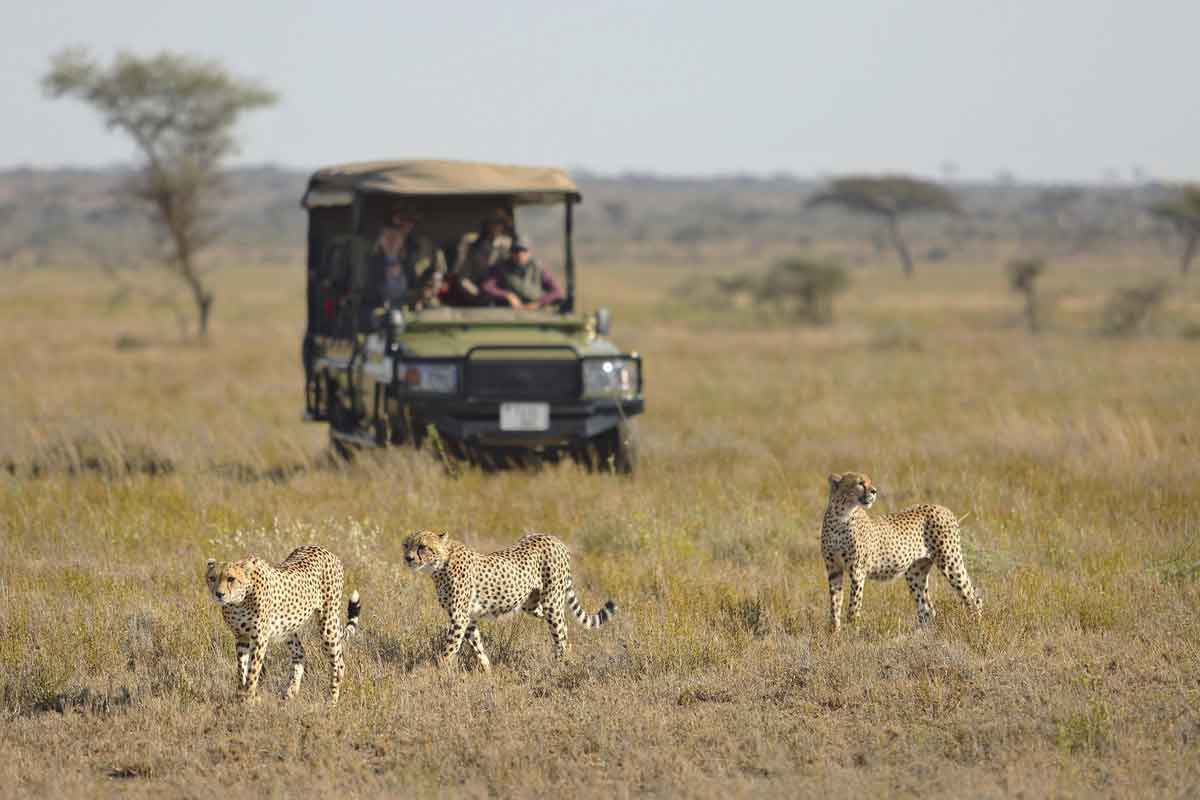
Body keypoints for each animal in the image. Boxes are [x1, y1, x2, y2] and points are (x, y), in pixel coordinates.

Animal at [206, 544, 360, 705]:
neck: (238, 601)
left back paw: (332, 700)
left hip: (327, 624)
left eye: (231, 578)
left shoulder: (259, 639)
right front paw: (240, 697)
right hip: (288, 628)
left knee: (338, 663)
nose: (219, 594)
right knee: (300, 652)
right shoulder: (241, 637)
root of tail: (324, 550)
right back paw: (290, 693)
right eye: (212, 578)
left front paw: (248, 698)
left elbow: (253, 671)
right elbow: (241, 669)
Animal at [403, 534, 619, 671]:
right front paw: (487, 671)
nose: (408, 558)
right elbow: (477, 645)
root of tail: (554, 538)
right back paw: (569, 653)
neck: (439, 565)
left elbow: (450, 648)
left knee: (560, 632)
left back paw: (560, 665)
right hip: (531, 605)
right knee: (564, 630)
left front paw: (438, 671)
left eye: (422, 546)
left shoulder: (459, 617)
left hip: (552, 602)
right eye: (406, 545)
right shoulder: (468, 618)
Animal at [820, 472, 979, 633]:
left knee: (972, 596)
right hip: (915, 572)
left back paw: (975, 626)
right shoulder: (834, 569)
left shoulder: (857, 571)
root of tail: (943, 507)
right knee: (927, 607)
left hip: (949, 562)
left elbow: (853, 606)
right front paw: (834, 632)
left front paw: (852, 631)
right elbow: (835, 603)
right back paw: (921, 633)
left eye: (870, 482)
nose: (874, 491)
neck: (841, 514)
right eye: (860, 483)